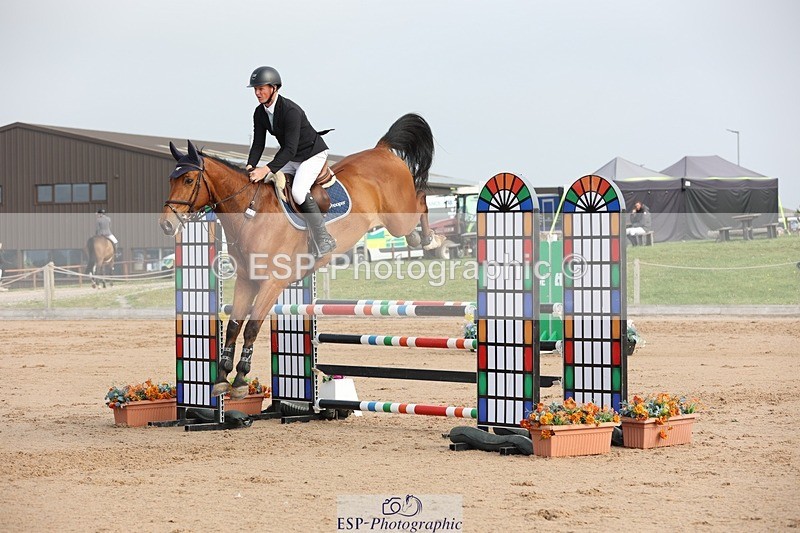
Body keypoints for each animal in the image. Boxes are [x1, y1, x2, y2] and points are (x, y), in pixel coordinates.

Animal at [159, 113, 438, 399]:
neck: (251, 212)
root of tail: (381, 150)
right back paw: (418, 238)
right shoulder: (246, 280)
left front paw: (240, 380)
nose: (167, 225)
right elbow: (235, 326)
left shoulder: (272, 283)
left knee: (422, 199)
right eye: (170, 180)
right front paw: (222, 378)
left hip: (398, 217)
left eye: (188, 180)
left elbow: (251, 328)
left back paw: (429, 239)